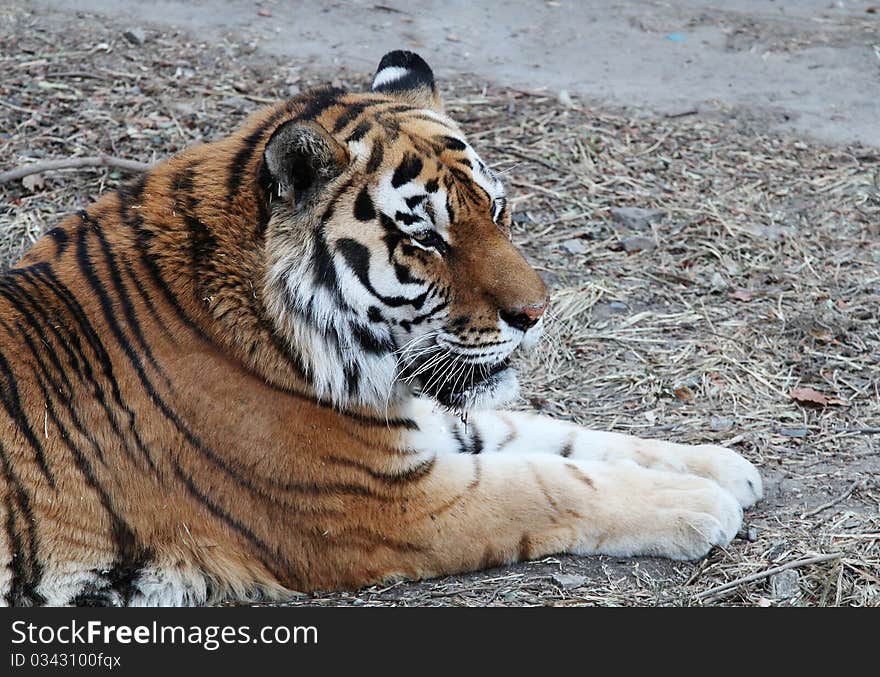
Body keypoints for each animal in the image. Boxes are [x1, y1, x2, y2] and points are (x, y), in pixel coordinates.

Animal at [0, 50, 760, 604]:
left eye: (498, 211)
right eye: (426, 239)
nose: (536, 313)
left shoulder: (417, 424)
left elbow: (562, 436)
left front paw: (723, 465)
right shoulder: (390, 504)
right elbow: (547, 482)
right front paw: (700, 502)